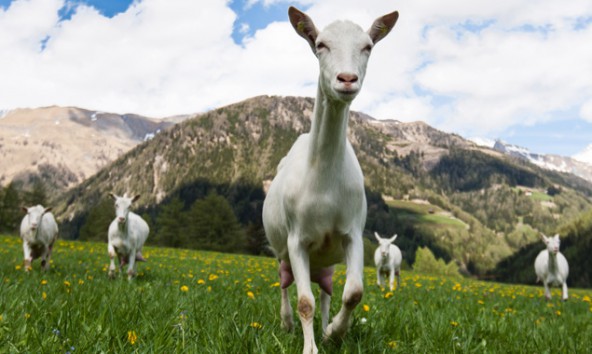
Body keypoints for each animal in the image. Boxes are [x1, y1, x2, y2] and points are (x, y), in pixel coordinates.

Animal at [262, 6, 398, 354]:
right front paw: (309, 347)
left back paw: (324, 326)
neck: (323, 180)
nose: (347, 79)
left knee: (325, 291)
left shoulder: (352, 234)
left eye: (368, 46)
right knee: (285, 284)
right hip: (281, 249)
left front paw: (334, 332)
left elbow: (353, 292)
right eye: (321, 44)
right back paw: (286, 323)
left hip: (326, 261)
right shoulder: (296, 241)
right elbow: (304, 301)